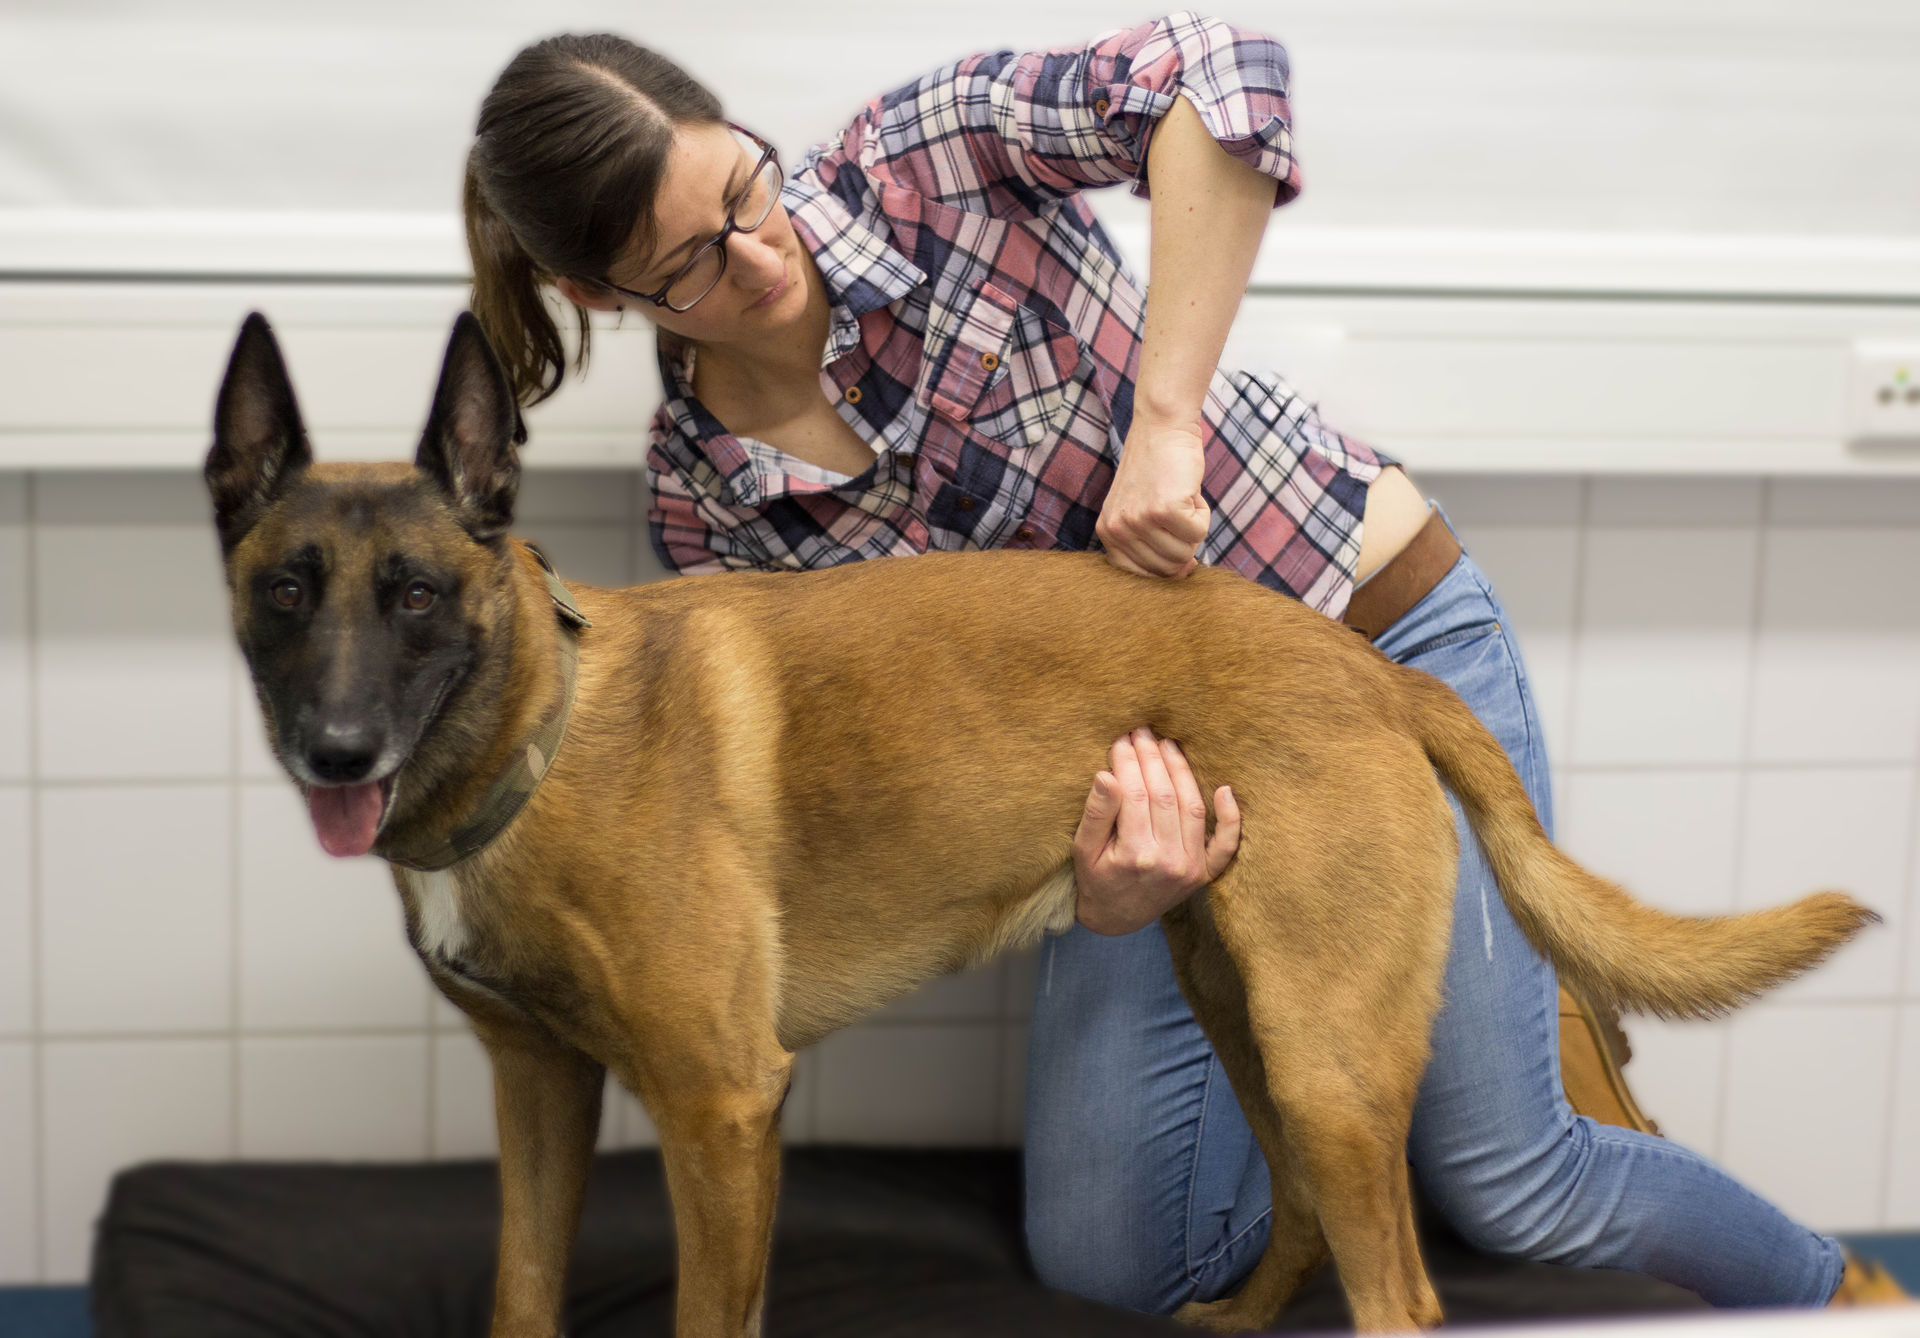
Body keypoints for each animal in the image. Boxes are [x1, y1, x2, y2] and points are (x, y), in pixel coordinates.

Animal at [210, 307, 1873, 1328]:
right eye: (285, 590)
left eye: (416, 597)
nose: (337, 754)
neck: (542, 738)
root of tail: (1367, 664)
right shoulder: (541, 1087)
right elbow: (520, 1293)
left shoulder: (721, 1108)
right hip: (1250, 1008)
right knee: (1309, 1214)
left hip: (1330, 1052)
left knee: (1406, 1282)